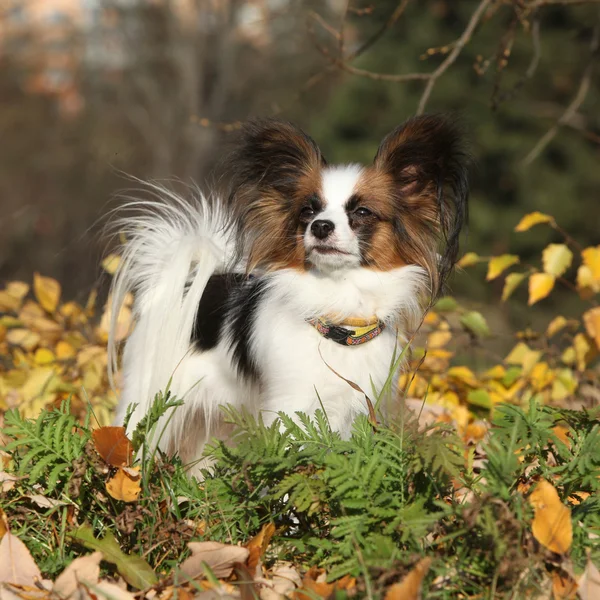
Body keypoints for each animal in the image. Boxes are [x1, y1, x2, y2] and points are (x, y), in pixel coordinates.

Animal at [110, 112, 472, 468]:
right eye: (307, 211)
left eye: (362, 212)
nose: (321, 226)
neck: (339, 317)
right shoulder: (291, 407)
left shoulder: (359, 409)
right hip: (150, 403)